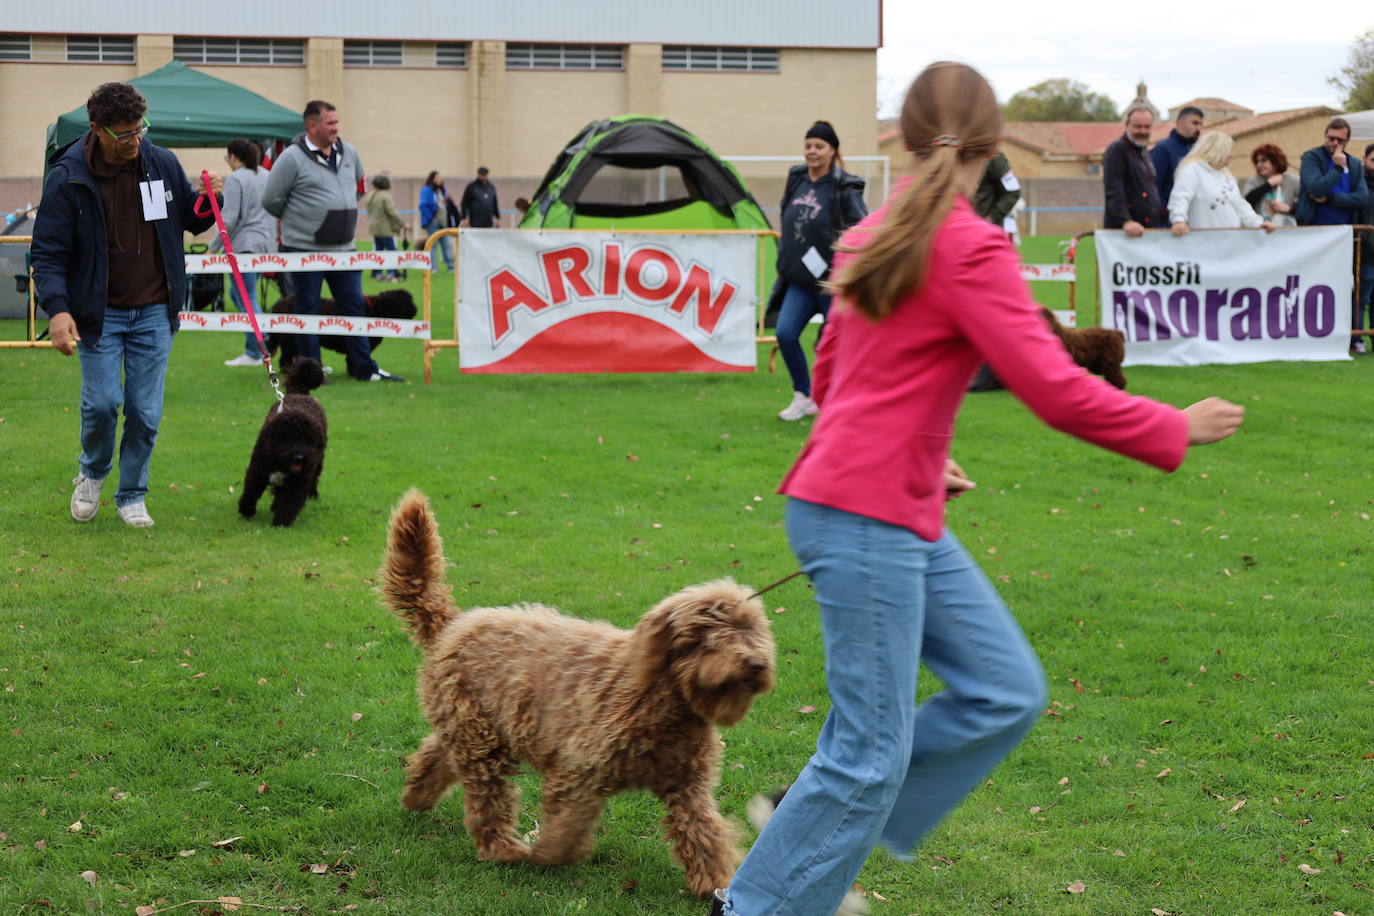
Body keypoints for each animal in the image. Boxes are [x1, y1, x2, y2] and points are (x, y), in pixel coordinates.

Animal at [266, 289, 417, 368]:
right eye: (406, 302)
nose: (415, 309)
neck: (375, 310)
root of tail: (277, 305)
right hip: (290, 341)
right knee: (285, 358)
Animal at [381, 491, 780, 900]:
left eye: (752, 629)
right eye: (710, 633)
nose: (756, 664)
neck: (663, 698)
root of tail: (453, 623)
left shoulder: (687, 786)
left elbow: (704, 833)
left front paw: (717, 882)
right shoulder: (577, 769)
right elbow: (567, 824)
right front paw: (548, 855)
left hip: (473, 727)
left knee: (434, 757)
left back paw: (416, 796)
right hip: (482, 743)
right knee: (486, 802)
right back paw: (502, 849)